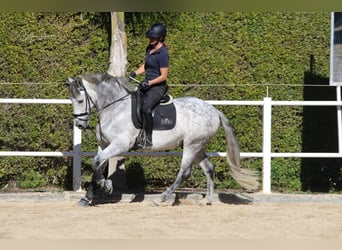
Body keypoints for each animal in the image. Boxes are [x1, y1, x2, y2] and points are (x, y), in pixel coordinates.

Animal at [67, 72, 260, 205]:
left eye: (80, 100)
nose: (79, 125)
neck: (115, 108)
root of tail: (213, 110)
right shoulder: (104, 144)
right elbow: (97, 165)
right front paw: (88, 197)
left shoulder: (119, 145)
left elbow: (96, 163)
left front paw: (106, 186)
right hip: (198, 146)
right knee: (208, 168)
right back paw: (209, 200)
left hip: (191, 145)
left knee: (185, 172)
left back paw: (162, 198)